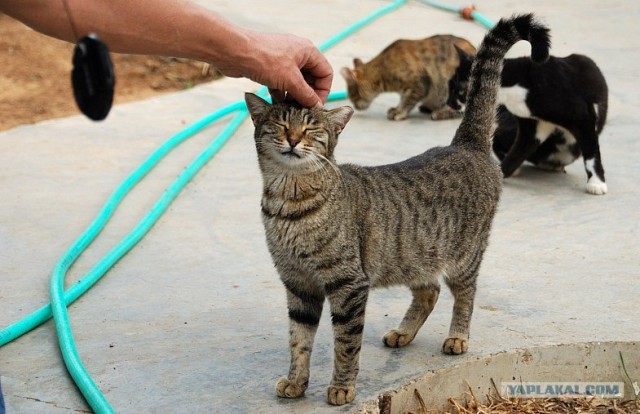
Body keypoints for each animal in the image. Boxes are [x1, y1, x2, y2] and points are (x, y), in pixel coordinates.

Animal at [340, 34, 476, 121]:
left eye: (352, 95)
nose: (355, 107)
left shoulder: (420, 83)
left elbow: (408, 101)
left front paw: (400, 112)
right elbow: (403, 99)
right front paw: (397, 108)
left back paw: (440, 113)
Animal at [450, 48, 608, 196]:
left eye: (459, 91)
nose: (449, 103)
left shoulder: (583, 116)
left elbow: (591, 152)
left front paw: (596, 183)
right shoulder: (532, 127)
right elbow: (517, 152)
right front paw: (499, 174)